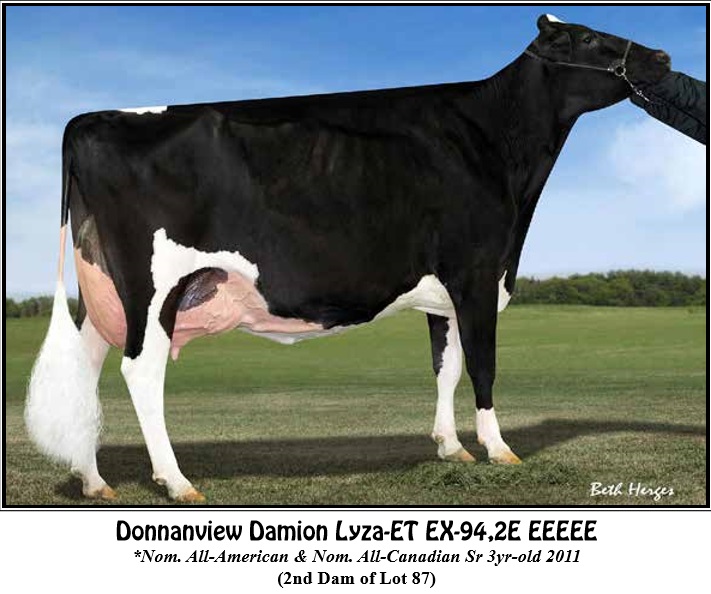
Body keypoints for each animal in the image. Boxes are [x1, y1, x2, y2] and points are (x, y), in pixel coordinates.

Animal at [26, 15, 671, 502]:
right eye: (589, 38)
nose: (662, 55)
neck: (492, 143)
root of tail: (89, 118)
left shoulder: (444, 292)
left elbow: (447, 366)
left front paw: (451, 448)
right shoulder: (478, 274)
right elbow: (484, 366)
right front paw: (499, 449)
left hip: (104, 288)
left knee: (88, 365)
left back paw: (93, 481)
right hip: (153, 286)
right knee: (140, 370)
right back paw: (177, 482)